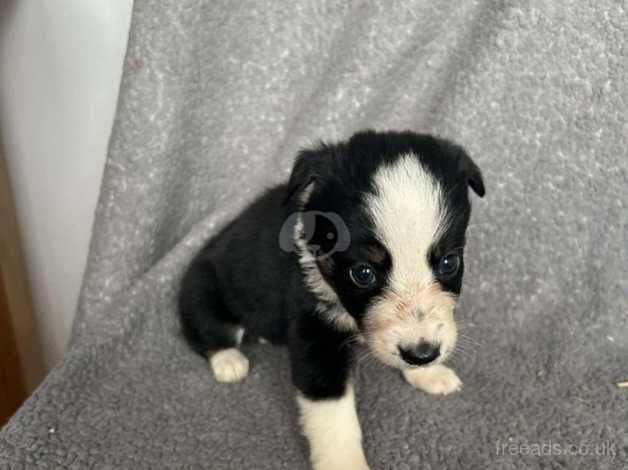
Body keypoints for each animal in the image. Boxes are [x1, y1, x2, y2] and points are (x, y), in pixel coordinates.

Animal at [178, 129, 486, 470]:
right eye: (362, 273)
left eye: (449, 263)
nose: (422, 354)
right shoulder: (315, 333)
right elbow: (333, 415)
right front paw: (346, 464)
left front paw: (429, 373)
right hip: (203, 288)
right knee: (205, 331)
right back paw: (228, 360)